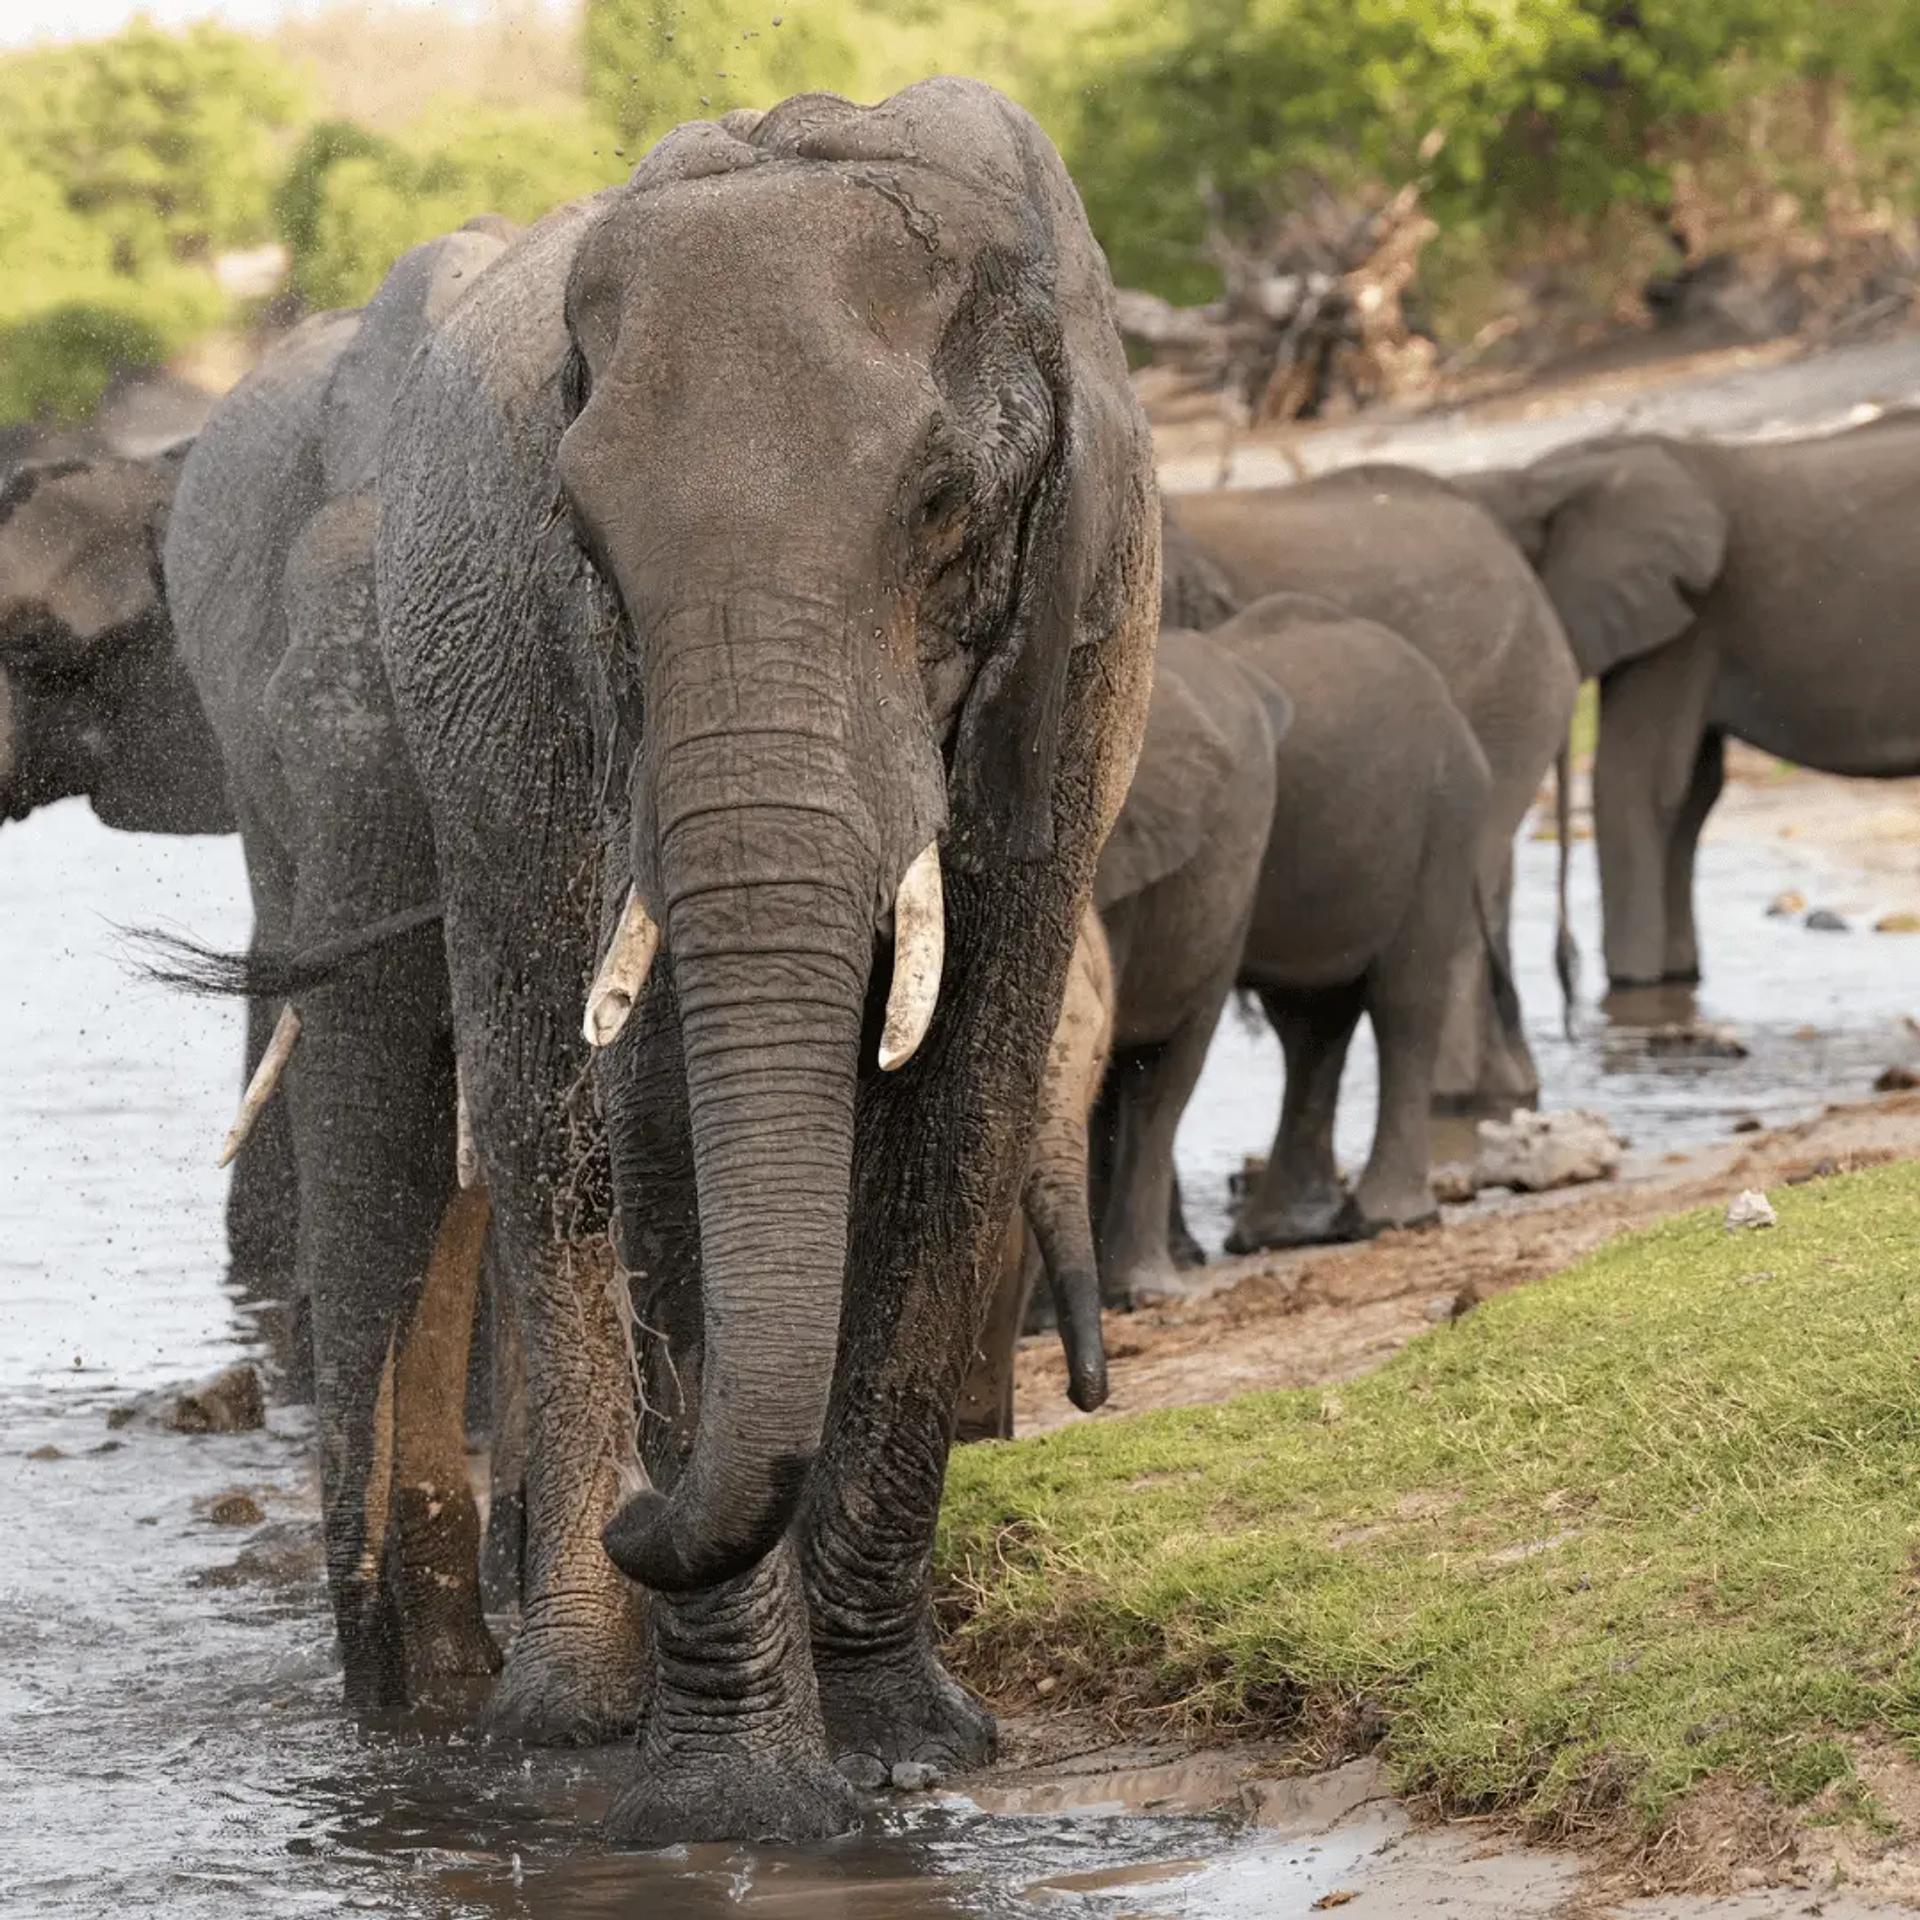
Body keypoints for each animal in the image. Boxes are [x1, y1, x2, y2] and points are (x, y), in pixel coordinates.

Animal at [371, 81, 1157, 1842]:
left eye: (940, 509)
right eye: (585, 548)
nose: (644, 1519)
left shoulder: (1077, 654)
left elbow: (962, 1106)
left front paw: (901, 1750)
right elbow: (659, 1118)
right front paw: (739, 1813)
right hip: (472, 761)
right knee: (550, 1143)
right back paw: (564, 1720)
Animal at [1456, 413, 1920, 988]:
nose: (1567, 966)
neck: (1539, 479)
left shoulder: (1688, 623)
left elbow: (1632, 785)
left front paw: (1631, 985)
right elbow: (1693, 790)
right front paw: (1677, 978)